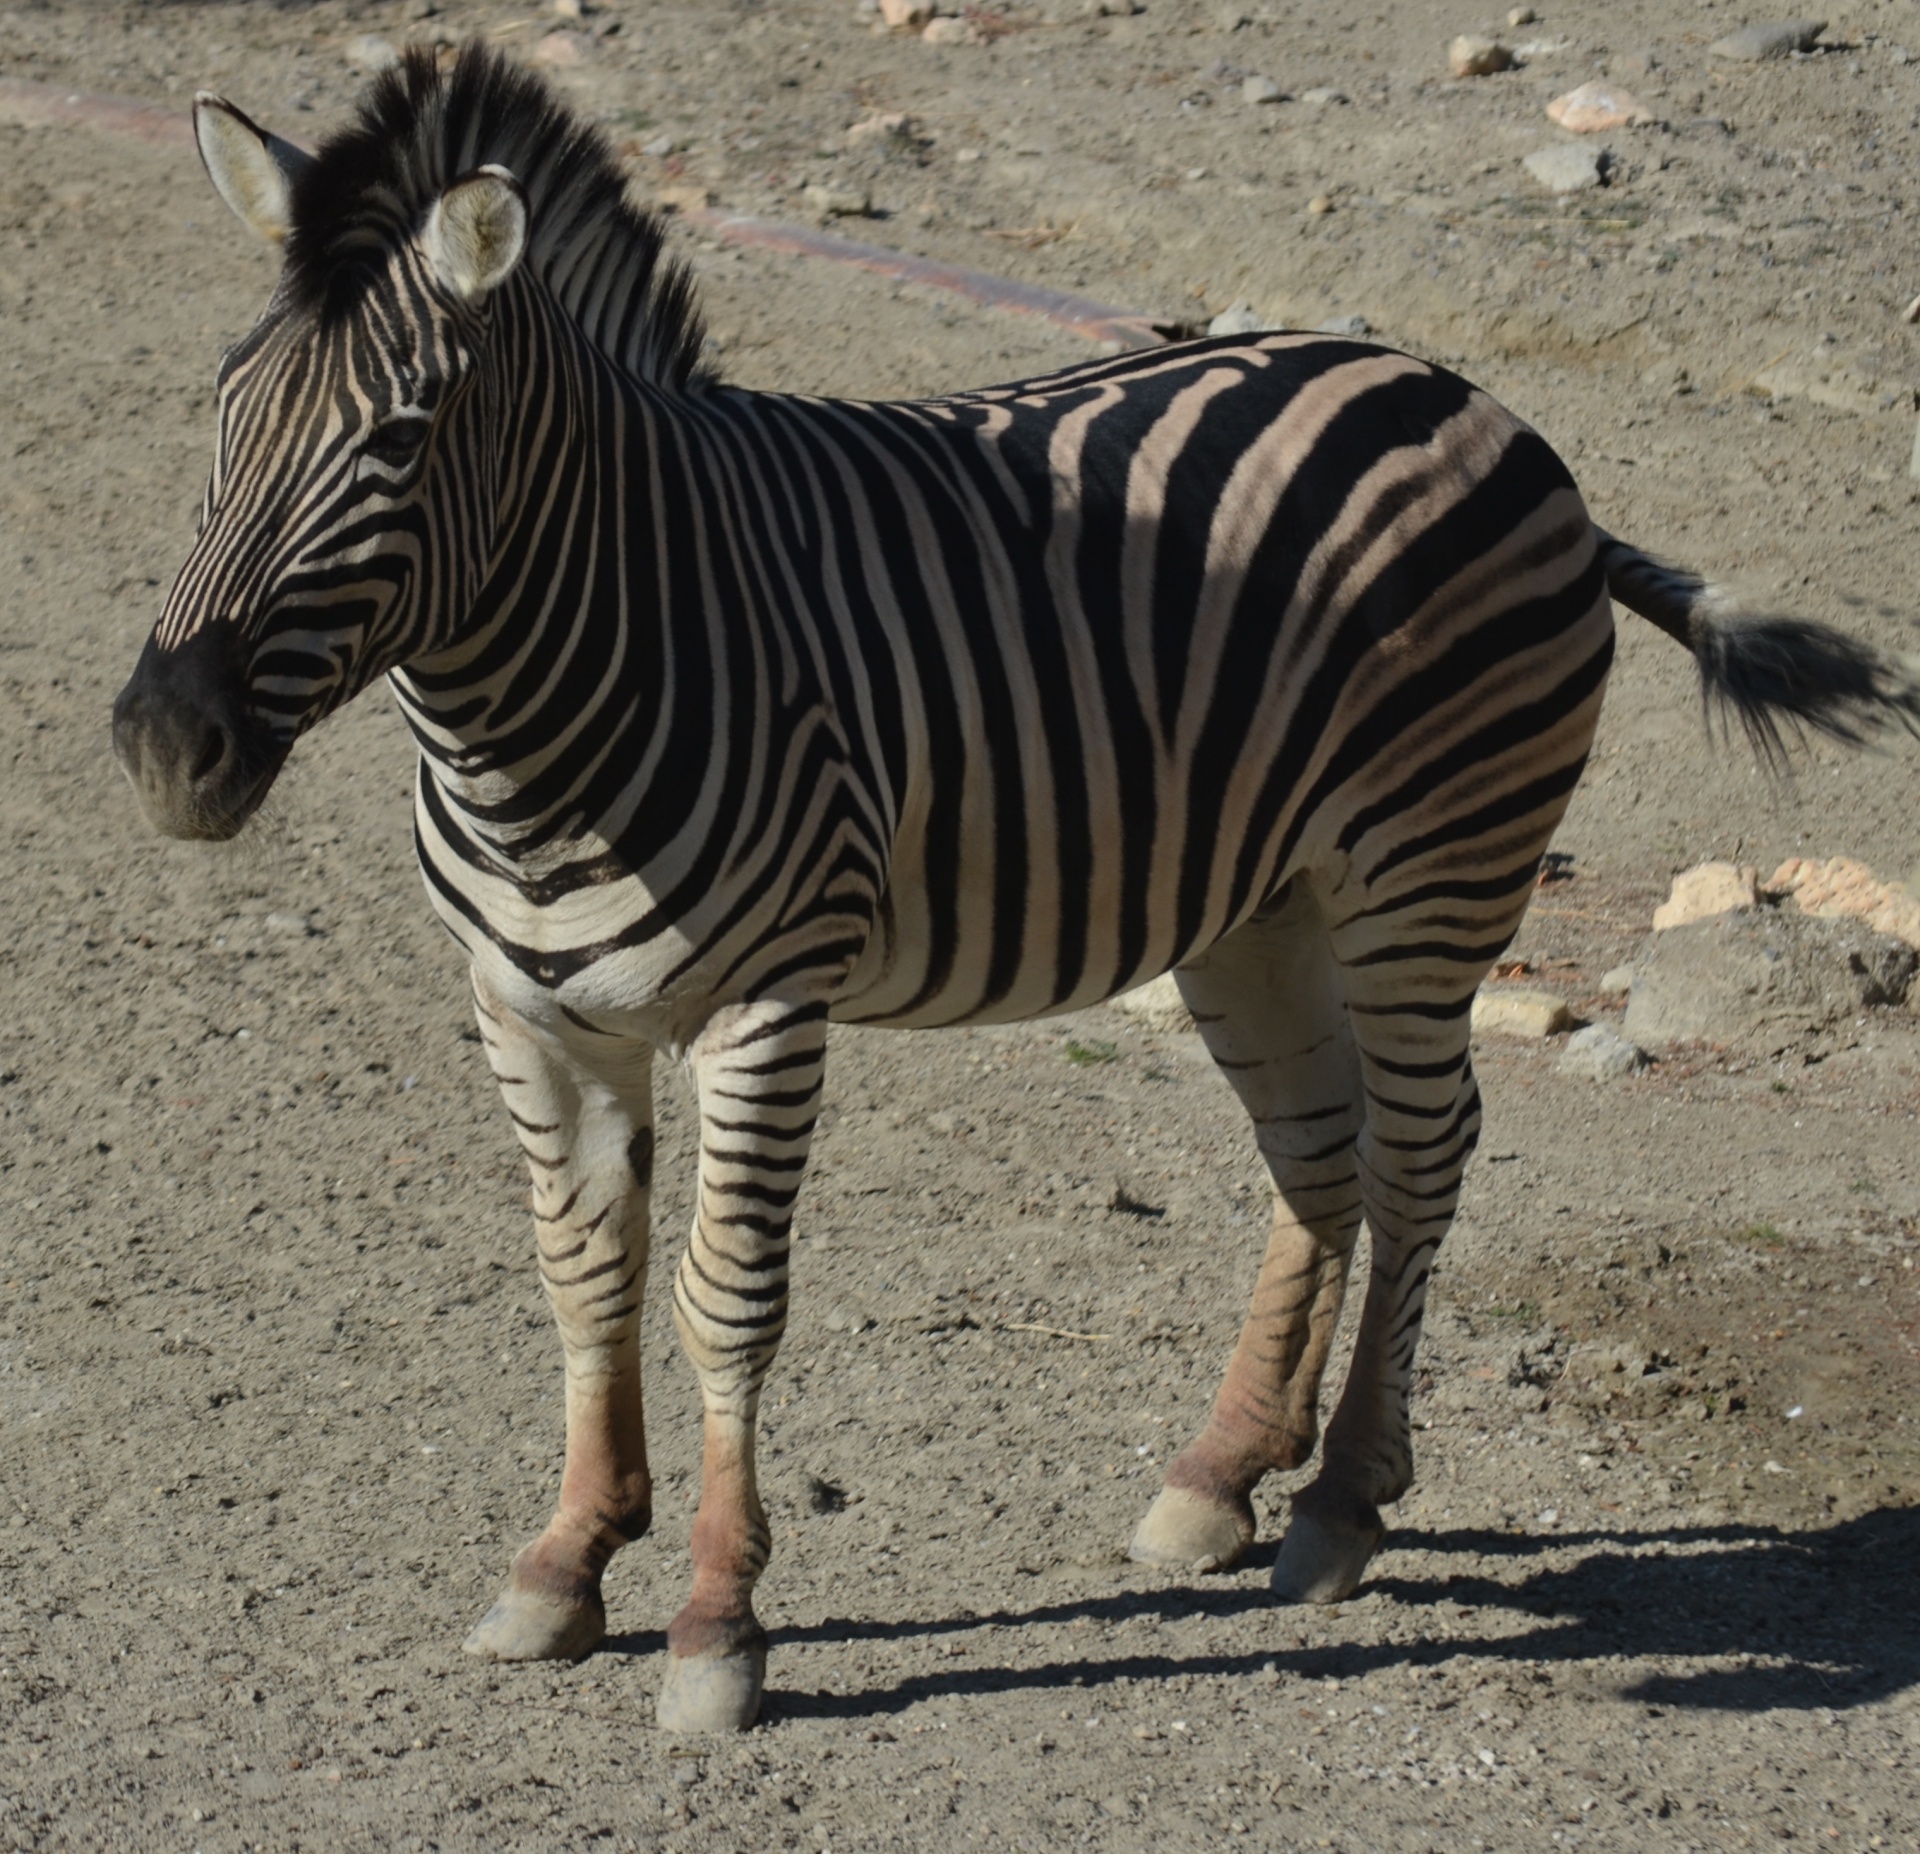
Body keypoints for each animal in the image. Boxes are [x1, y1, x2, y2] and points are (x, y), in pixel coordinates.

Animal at [112, 54, 1912, 1742]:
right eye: (218, 413)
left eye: (397, 441)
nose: (161, 744)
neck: (574, 679)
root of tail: (1478, 408)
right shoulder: (530, 1006)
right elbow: (583, 1274)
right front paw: (563, 1561)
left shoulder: (769, 1003)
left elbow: (721, 1301)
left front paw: (715, 1624)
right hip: (1260, 907)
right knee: (1321, 1152)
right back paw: (1220, 1475)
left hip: (1426, 878)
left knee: (1420, 1156)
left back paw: (1341, 1499)